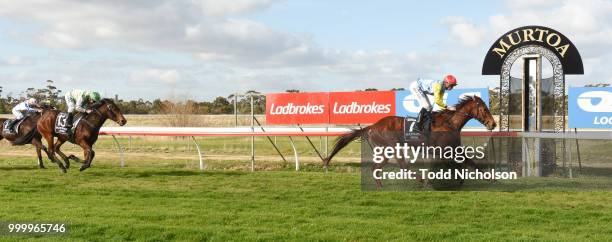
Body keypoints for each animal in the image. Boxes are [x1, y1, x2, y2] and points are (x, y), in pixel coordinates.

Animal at [326, 96, 498, 187]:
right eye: (484, 109)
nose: (493, 124)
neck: (450, 123)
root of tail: (372, 126)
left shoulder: (453, 148)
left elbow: (467, 161)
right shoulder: (444, 149)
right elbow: (465, 162)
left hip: (384, 151)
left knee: (376, 168)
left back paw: (380, 187)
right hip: (392, 147)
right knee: (402, 165)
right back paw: (420, 179)